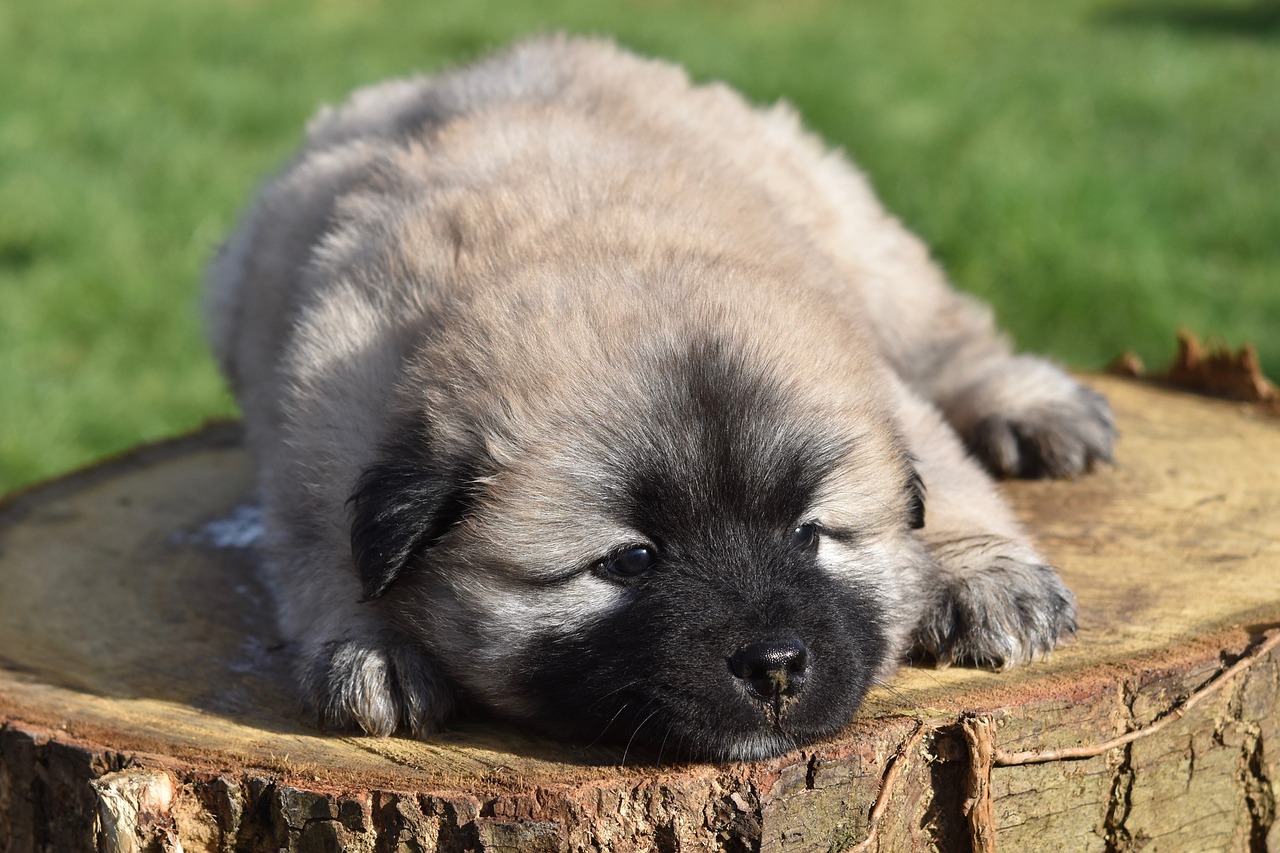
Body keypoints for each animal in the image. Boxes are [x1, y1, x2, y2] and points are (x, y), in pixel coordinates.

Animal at [207, 36, 1111, 758]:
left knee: (948, 330)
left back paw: (1030, 404)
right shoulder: (319, 424)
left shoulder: (874, 374)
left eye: (809, 534)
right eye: (631, 560)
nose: (775, 667)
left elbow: (946, 470)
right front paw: (373, 647)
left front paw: (984, 571)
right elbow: (322, 549)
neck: (597, 243)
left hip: (853, 232)